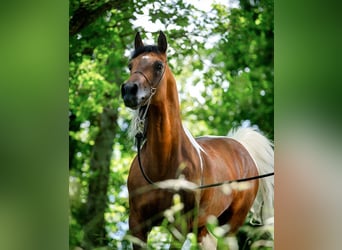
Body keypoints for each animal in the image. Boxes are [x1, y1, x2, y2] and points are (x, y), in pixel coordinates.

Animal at [121, 31, 274, 248]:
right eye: (130, 65)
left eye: (158, 65)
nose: (129, 90)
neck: (162, 164)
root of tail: (241, 147)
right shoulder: (137, 225)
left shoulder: (179, 227)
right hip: (203, 228)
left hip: (229, 226)